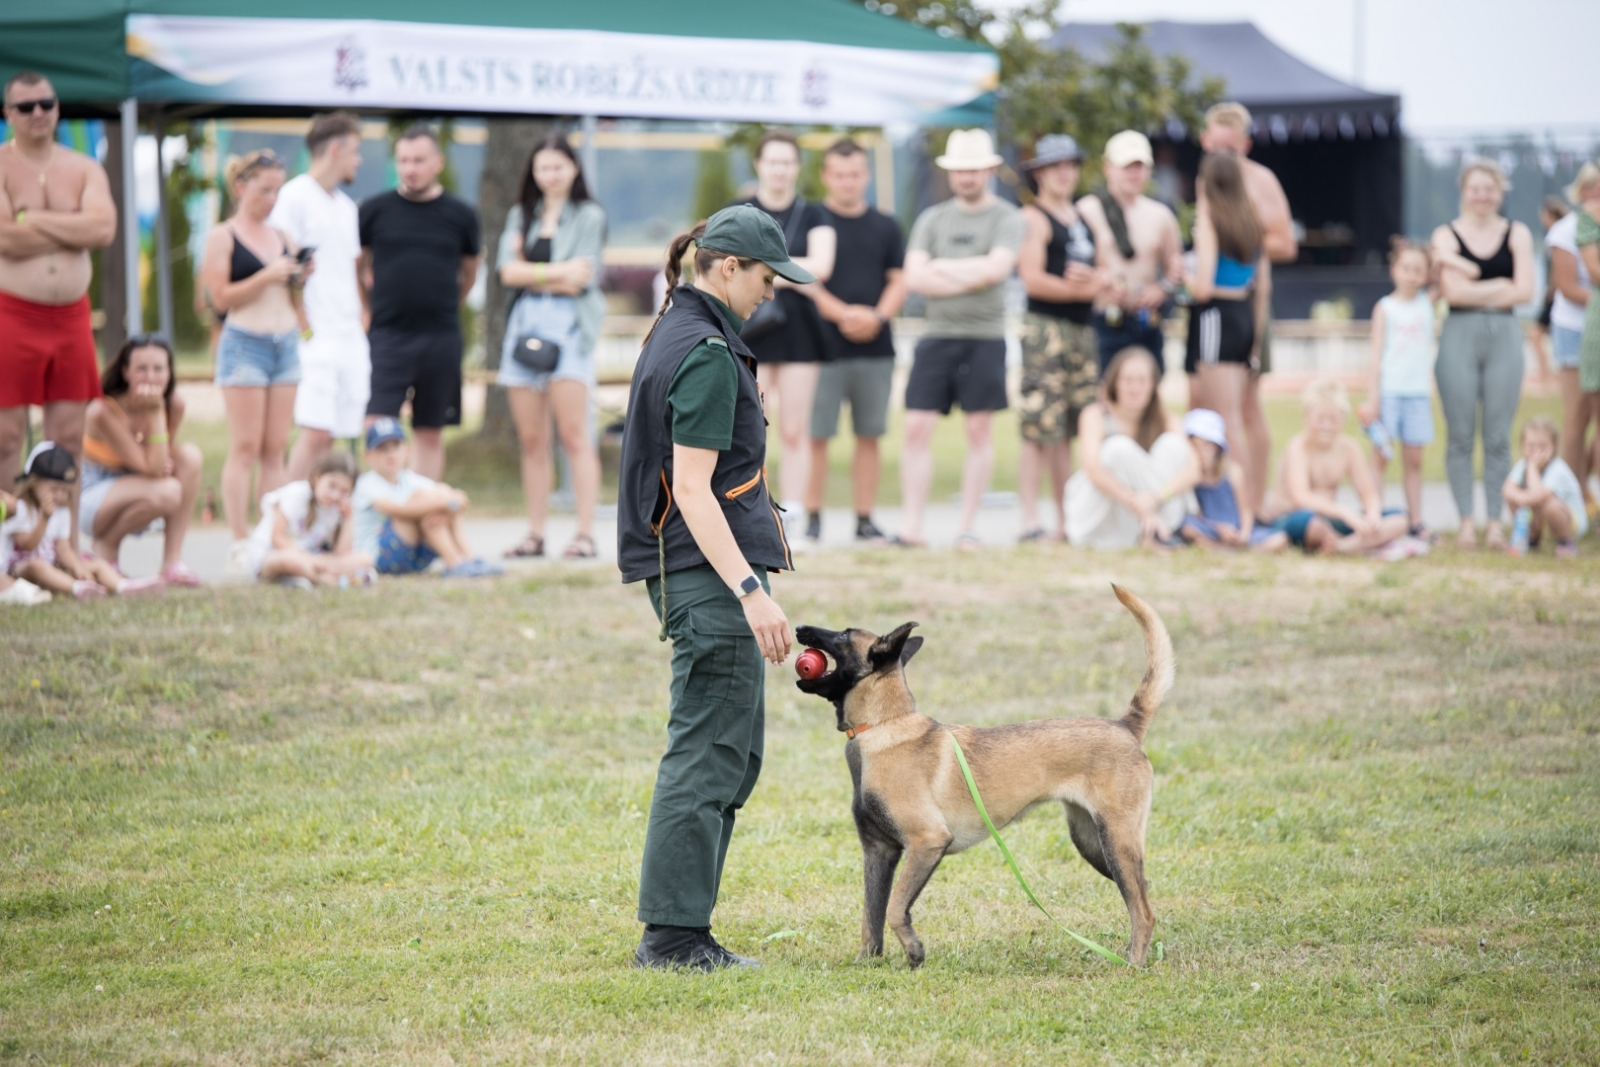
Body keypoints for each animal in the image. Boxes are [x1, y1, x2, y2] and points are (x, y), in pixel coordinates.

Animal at [790, 585, 1177, 966]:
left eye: (843, 634)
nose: (798, 627)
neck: (883, 725)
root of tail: (1125, 726)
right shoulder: (878, 852)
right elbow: (871, 914)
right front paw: (866, 964)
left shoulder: (927, 842)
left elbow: (895, 907)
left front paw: (914, 952)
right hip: (1093, 844)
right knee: (1142, 895)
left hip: (1115, 842)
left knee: (1143, 910)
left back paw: (1132, 965)